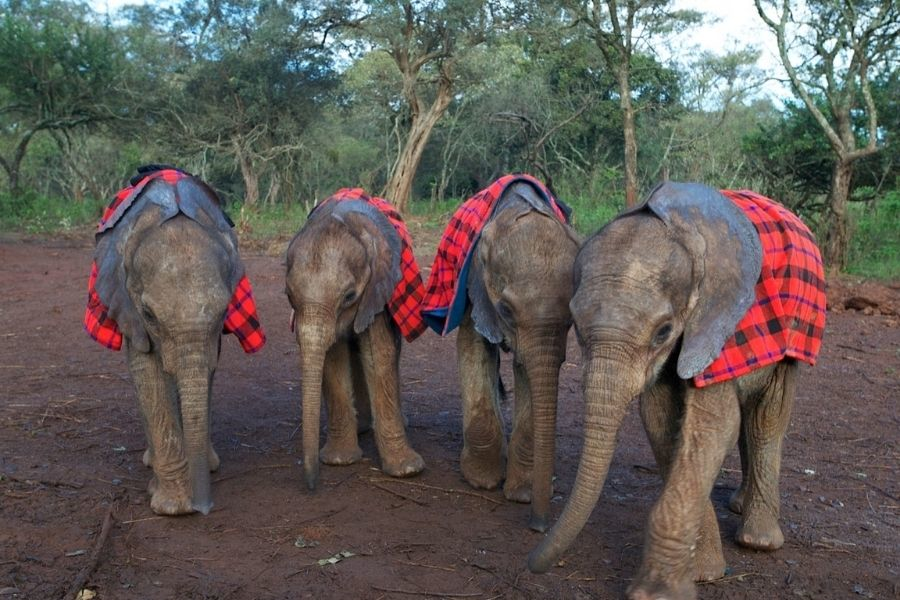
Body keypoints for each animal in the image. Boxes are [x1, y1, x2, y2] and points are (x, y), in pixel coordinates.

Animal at [87, 168, 265, 515]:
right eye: (149, 314)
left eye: (226, 309)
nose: (204, 507)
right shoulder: (128, 304)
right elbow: (148, 372)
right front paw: (174, 508)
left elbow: (206, 368)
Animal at [285, 193, 426, 491]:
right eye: (289, 296)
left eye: (350, 296)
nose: (312, 486)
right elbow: (333, 356)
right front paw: (340, 461)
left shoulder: (377, 288)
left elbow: (378, 353)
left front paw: (407, 471)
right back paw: (362, 426)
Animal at [421, 175, 581, 531]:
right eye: (506, 309)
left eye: (571, 320)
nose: (539, 527)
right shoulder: (474, 287)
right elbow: (474, 349)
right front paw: (481, 480)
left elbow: (528, 370)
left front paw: (521, 493)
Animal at [528, 182, 826, 600]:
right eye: (577, 327)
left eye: (664, 332)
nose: (533, 556)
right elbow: (662, 421)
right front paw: (702, 573)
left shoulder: (716, 324)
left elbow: (713, 426)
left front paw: (657, 592)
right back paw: (737, 505)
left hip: (796, 332)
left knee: (767, 417)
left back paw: (758, 540)